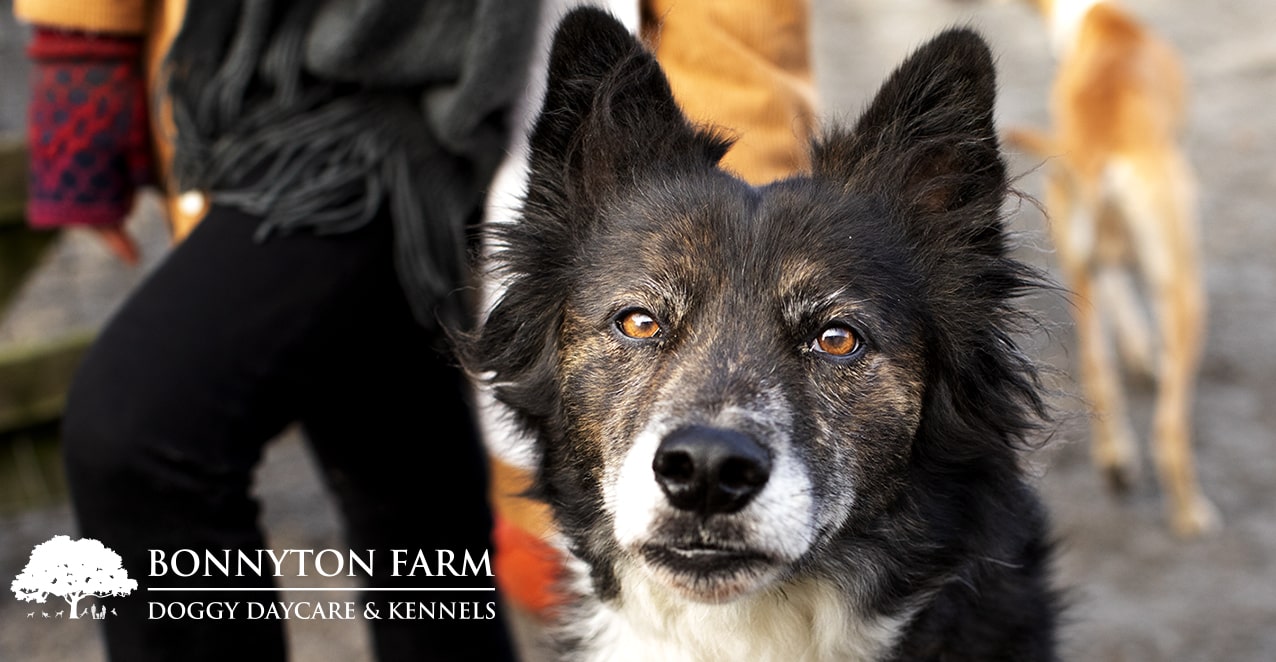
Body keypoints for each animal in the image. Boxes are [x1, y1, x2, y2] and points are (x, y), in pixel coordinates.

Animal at [1005, 0, 1214, 538]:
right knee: (1167, 431)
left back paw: (1117, 463)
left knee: (1099, 373)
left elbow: (1120, 296)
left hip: (1080, 270)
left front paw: (1140, 352)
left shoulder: (1098, 265)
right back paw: (1190, 513)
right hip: (1185, 292)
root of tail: (1096, 156)